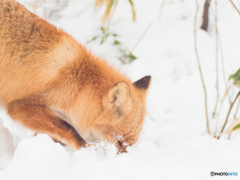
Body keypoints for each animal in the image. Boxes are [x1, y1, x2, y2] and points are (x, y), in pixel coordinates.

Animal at [0, 0, 150, 153]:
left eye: (129, 145)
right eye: (119, 142)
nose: (123, 156)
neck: (79, 84)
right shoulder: (21, 105)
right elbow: (69, 129)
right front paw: (88, 150)